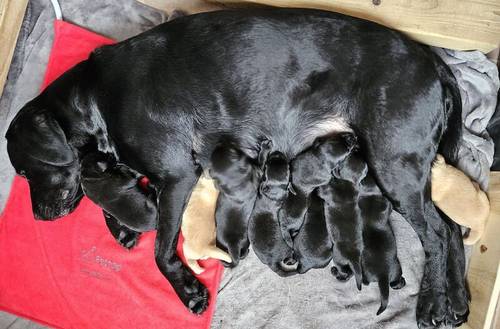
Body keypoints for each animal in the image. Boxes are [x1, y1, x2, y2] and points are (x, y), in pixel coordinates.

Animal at [5, 9, 464, 326]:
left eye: (24, 172)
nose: (37, 217)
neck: (95, 97)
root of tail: (433, 61)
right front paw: (121, 226)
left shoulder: (177, 177)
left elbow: (160, 252)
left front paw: (188, 291)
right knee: (451, 228)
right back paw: (457, 301)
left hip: (392, 164)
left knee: (437, 235)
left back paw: (430, 303)